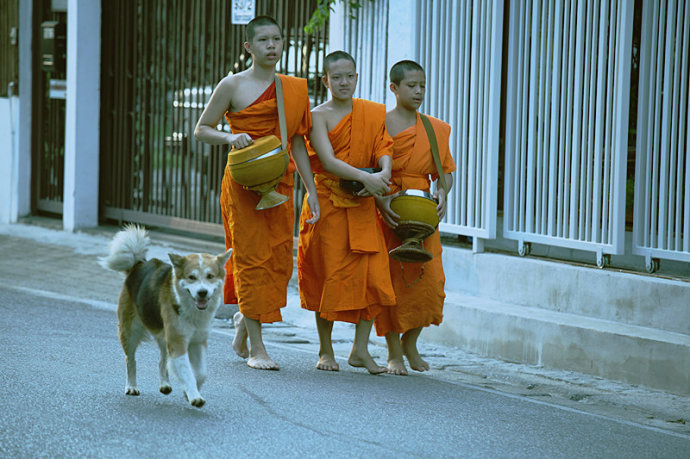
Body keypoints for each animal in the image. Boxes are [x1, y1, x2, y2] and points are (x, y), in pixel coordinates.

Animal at [99, 225, 232, 408]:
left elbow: (200, 373)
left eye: (210, 276)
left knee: (162, 361)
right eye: (191, 277)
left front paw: (189, 392)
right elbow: (187, 371)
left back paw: (164, 384)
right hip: (130, 332)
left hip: (163, 334)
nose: (202, 292)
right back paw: (131, 386)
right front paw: (194, 395)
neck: (189, 308)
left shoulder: (197, 341)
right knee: (131, 360)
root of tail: (139, 264)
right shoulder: (178, 342)